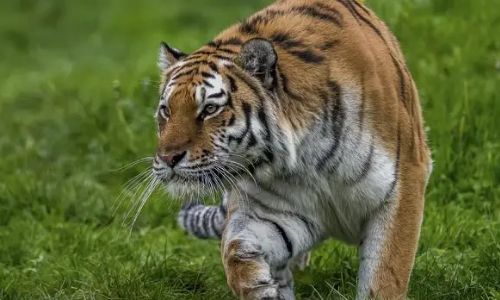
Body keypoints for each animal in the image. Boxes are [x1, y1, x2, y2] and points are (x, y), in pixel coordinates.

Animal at [151, 0, 430, 298]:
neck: (307, 157)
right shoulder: (270, 210)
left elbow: (385, 275)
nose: (167, 158)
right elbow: (235, 249)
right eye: (166, 110)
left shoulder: (403, 184)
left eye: (210, 109)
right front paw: (258, 285)